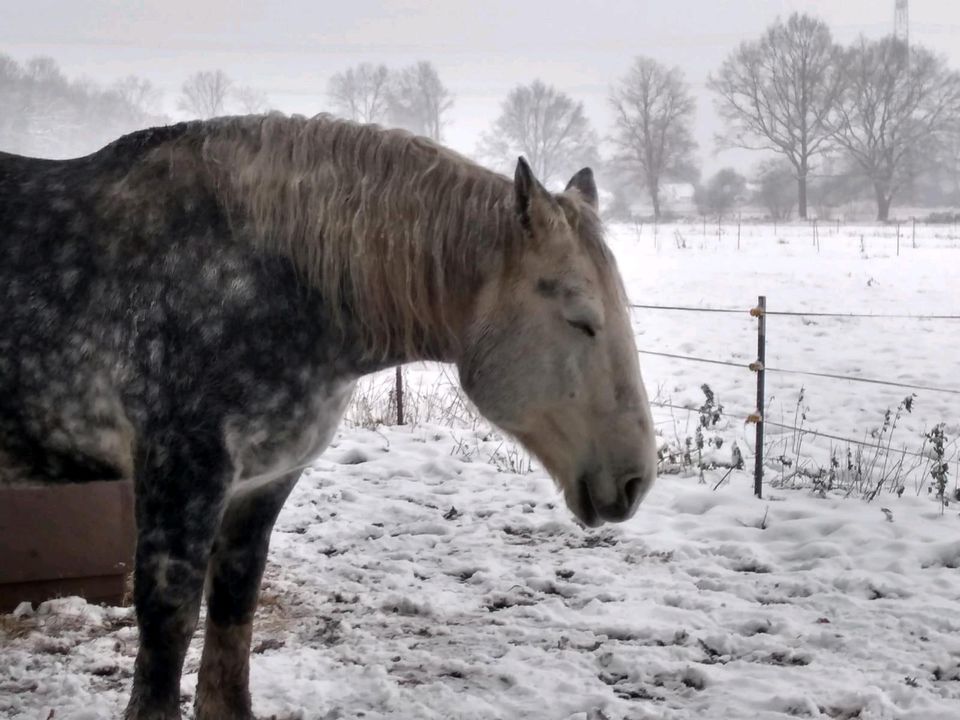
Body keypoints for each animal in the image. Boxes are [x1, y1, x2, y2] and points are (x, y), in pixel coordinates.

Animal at [0, 115, 660, 716]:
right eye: (580, 318)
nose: (634, 481)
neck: (268, 280)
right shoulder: (181, 472)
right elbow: (167, 630)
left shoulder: (262, 483)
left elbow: (233, 617)